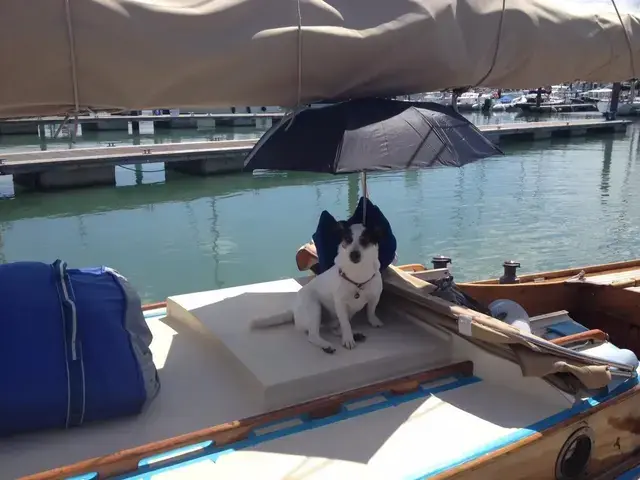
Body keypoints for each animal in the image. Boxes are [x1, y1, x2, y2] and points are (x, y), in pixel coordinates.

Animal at [250, 221, 382, 352]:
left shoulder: (375, 296)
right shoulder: (340, 304)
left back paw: (355, 334)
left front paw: (373, 321)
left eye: (365, 240)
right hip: (314, 308)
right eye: (348, 239)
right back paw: (326, 345)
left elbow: (371, 310)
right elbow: (346, 324)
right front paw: (348, 339)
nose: (354, 254)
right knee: (313, 335)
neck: (358, 276)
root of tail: (294, 311)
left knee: (334, 329)